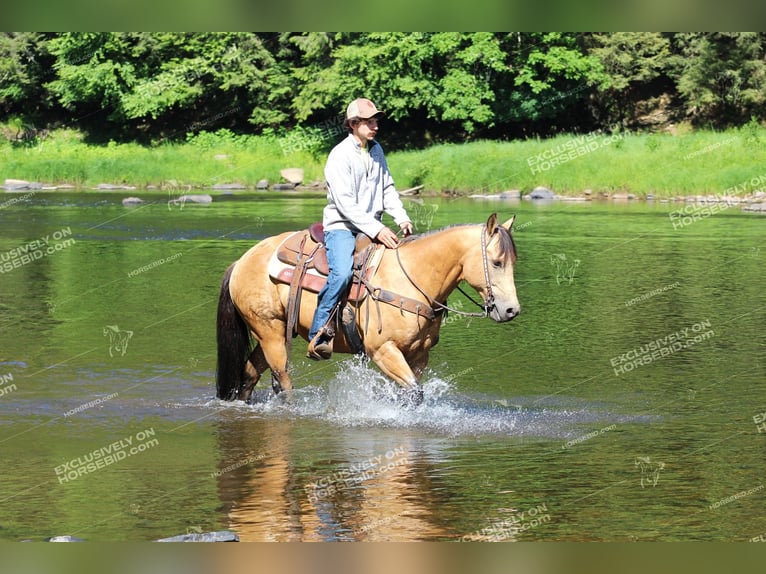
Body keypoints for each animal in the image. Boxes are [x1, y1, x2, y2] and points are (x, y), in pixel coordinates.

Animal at [216, 214, 520, 408]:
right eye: (496, 262)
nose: (511, 310)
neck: (411, 279)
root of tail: (242, 261)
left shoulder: (419, 355)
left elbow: (409, 393)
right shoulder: (382, 350)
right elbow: (414, 392)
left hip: (271, 332)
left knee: (249, 373)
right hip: (269, 333)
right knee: (282, 380)